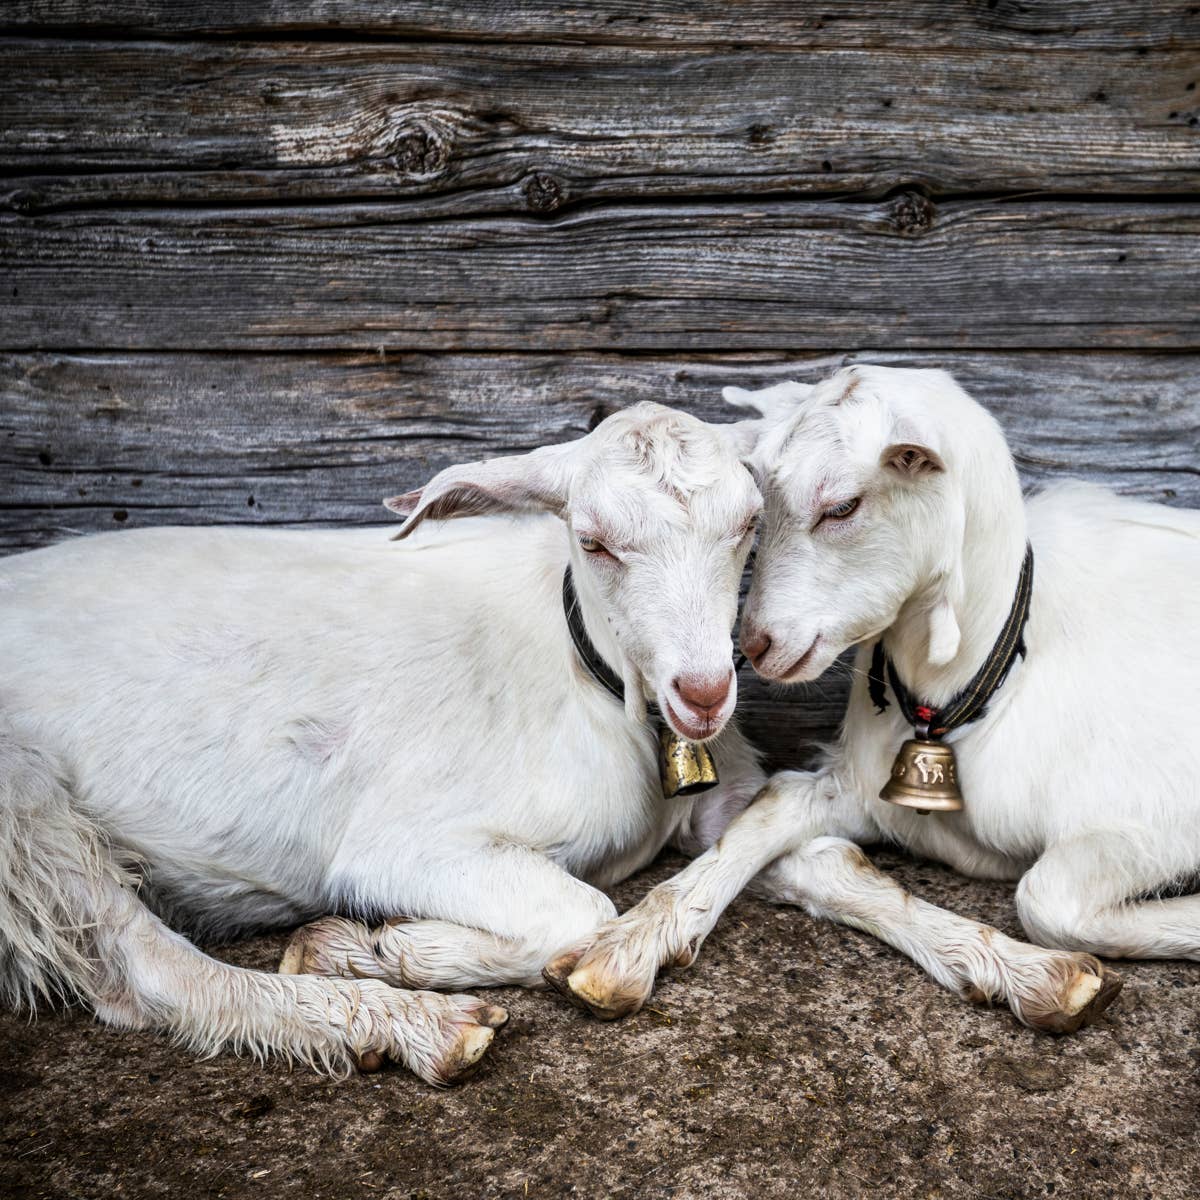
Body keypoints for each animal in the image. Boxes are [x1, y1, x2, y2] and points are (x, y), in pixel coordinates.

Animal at [0, 402, 765, 1082]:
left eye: (750, 523)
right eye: (594, 540)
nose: (704, 693)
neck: (590, 674)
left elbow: (770, 815)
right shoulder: (404, 844)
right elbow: (582, 910)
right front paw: (390, 947)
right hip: (26, 796)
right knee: (147, 967)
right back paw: (411, 1024)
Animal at [546, 365, 1199, 1033]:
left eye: (842, 506)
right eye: (763, 507)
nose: (755, 644)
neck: (991, 674)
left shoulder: (1156, 817)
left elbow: (1047, 899)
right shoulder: (860, 786)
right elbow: (771, 811)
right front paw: (629, 943)